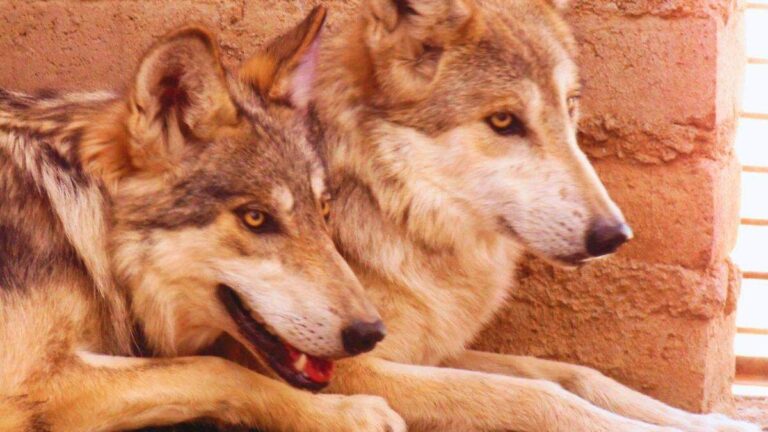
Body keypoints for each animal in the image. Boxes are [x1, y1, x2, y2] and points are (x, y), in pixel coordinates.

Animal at [0, 10, 406, 432]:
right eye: (256, 218)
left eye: (324, 211)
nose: (370, 333)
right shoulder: (28, 383)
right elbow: (219, 369)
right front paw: (346, 413)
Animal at [240, 1, 760, 431]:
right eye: (504, 121)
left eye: (570, 107)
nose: (614, 235)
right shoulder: (351, 370)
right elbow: (538, 395)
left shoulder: (433, 351)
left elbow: (575, 374)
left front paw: (713, 423)